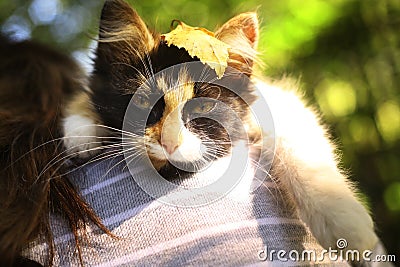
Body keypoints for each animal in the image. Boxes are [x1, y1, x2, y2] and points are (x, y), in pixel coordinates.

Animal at [63, 0, 378, 253]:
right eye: (143, 101)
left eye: (203, 107)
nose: (169, 142)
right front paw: (80, 131)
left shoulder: (278, 102)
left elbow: (297, 140)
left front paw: (346, 224)